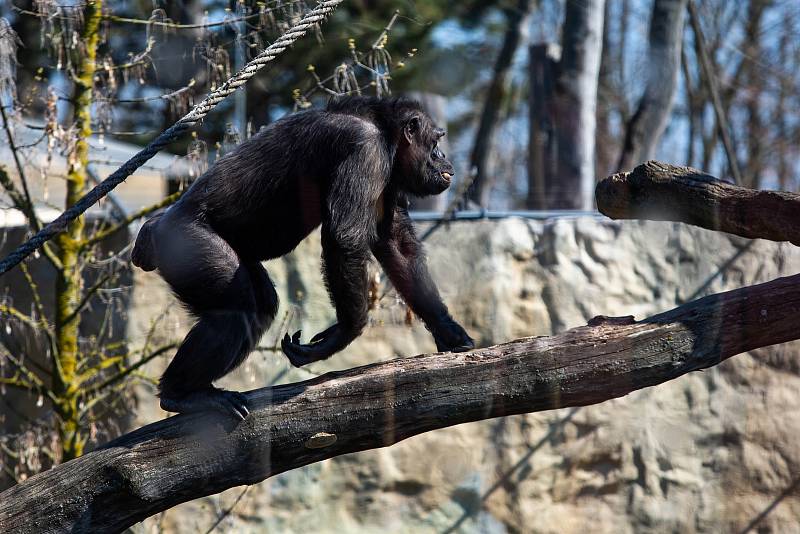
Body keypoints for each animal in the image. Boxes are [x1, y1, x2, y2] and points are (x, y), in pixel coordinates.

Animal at [131, 96, 476, 422]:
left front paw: (449, 330)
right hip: (189, 244)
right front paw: (341, 335)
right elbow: (343, 238)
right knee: (237, 309)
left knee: (260, 305)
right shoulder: (364, 151)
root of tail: (153, 231)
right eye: (435, 142)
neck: (384, 132)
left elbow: (396, 245)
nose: (443, 157)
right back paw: (182, 395)